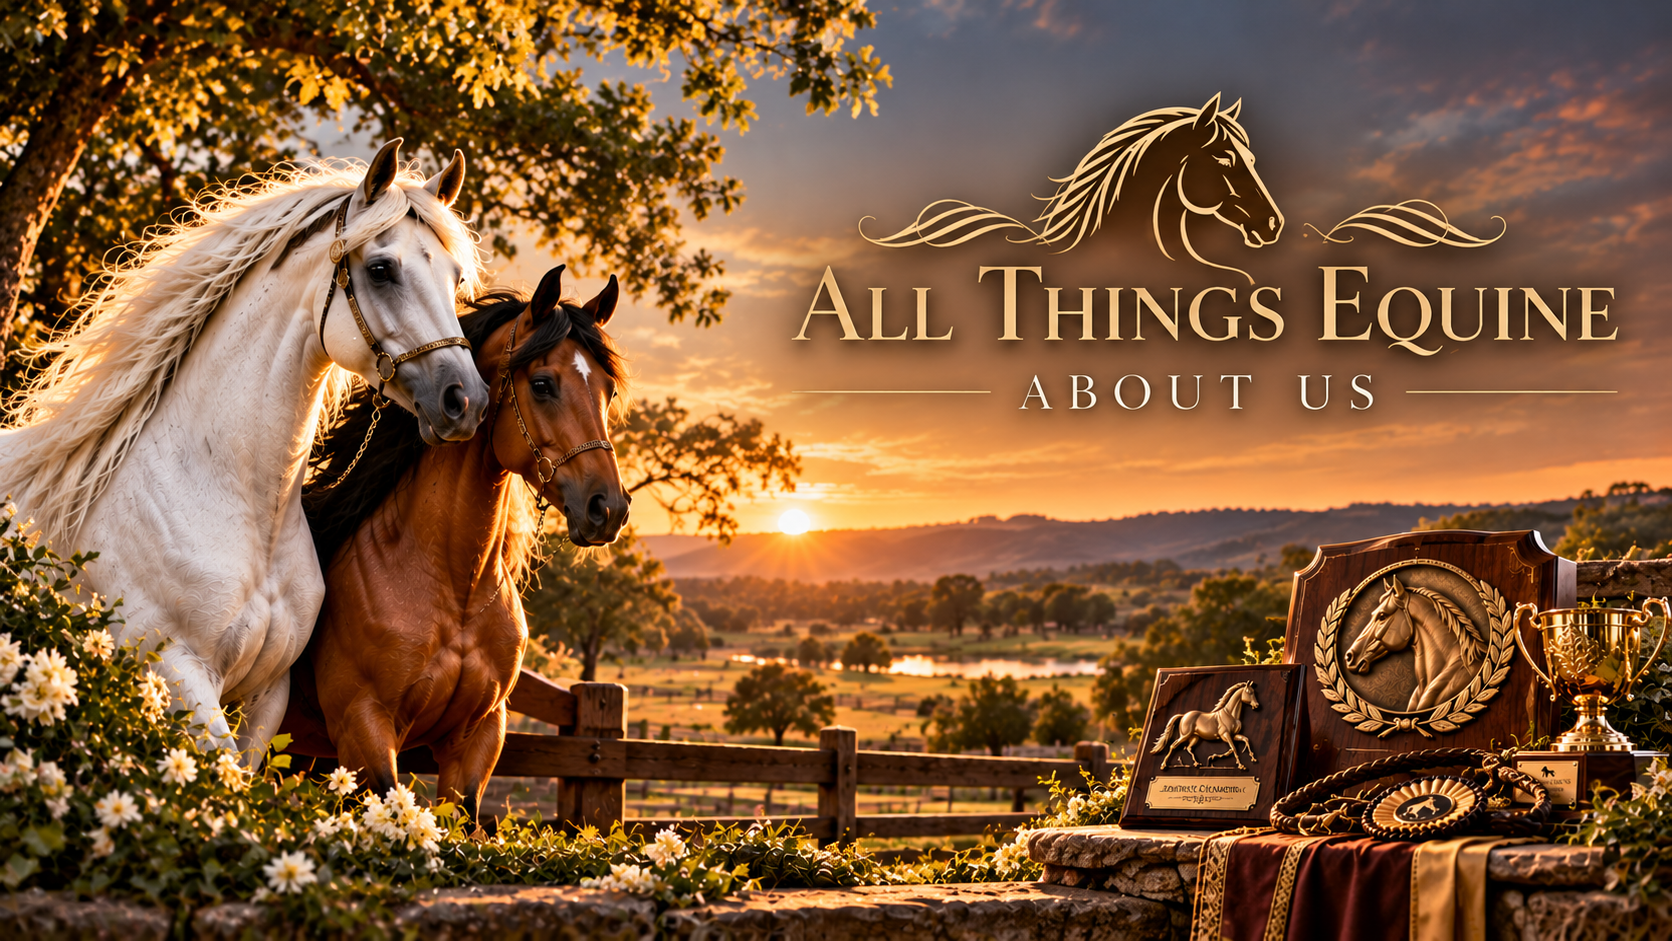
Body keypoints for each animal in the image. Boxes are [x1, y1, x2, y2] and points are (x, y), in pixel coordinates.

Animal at [0, 140, 490, 757]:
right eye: (381, 270)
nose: (465, 400)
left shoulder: (268, 694)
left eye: (455, 277)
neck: (252, 515)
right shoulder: (180, 677)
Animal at [278, 264, 629, 818]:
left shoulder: (477, 740)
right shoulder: (364, 730)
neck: (453, 589)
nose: (607, 507)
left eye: (608, 391)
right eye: (543, 384)